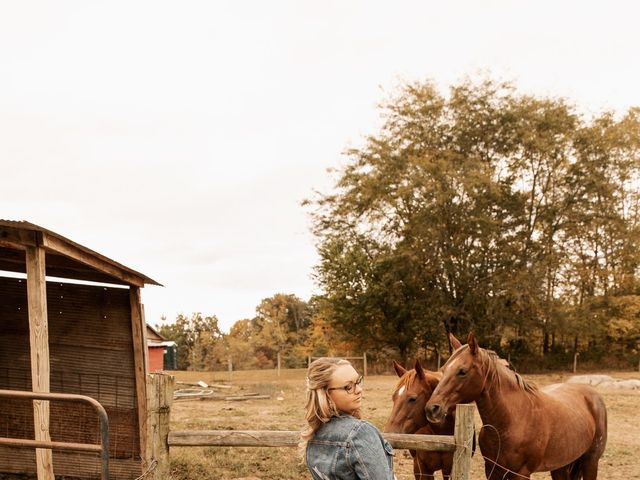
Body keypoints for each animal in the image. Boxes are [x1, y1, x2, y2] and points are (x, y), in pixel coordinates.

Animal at [424, 334, 604, 480]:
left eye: (462, 371)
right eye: (443, 369)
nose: (432, 409)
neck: (513, 421)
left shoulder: (521, 473)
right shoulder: (493, 471)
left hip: (590, 462)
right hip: (560, 466)